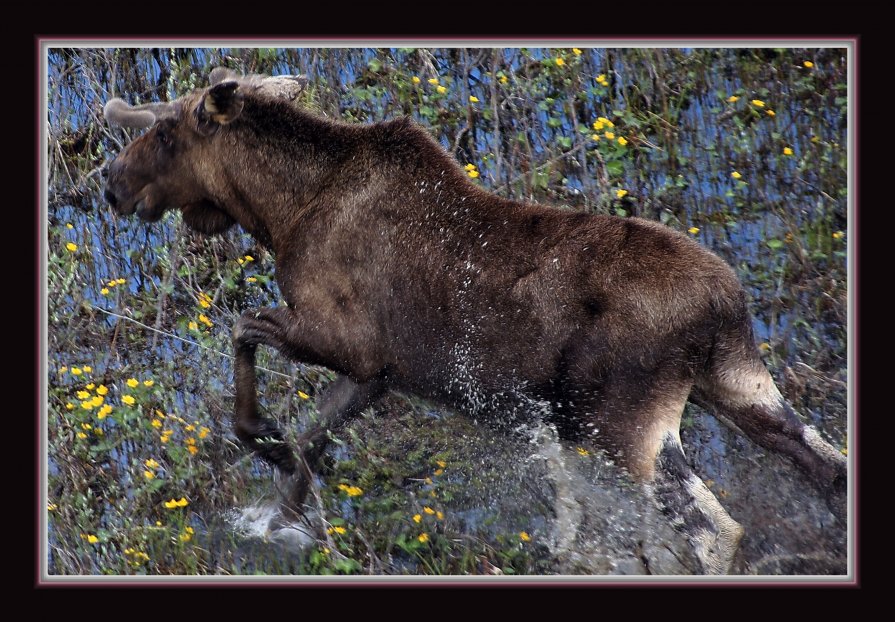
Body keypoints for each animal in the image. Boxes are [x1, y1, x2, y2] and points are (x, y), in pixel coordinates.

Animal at [103, 68, 848, 576]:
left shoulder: (344, 339)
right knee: (826, 466)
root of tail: (725, 306)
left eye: (165, 130)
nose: (111, 181)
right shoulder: (380, 370)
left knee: (714, 528)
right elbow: (312, 439)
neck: (279, 213)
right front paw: (281, 515)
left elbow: (242, 329)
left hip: (625, 419)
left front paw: (261, 436)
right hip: (739, 383)